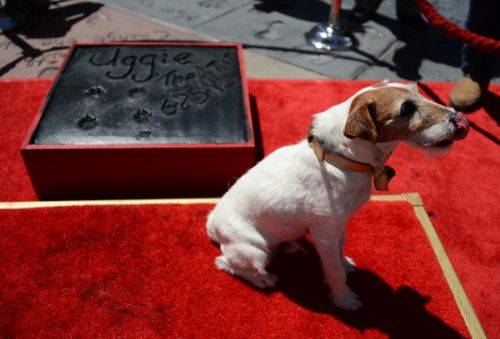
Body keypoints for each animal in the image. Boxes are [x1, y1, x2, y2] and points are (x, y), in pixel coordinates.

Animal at [206, 81, 468, 310]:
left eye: (418, 92)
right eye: (406, 108)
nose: (458, 118)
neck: (341, 159)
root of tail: (212, 223)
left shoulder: (339, 224)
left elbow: (341, 247)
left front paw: (345, 263)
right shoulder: (324, 234)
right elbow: (334, 271)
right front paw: (344, 300)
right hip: (254, 250)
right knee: (227, 263)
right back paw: (263, 278)